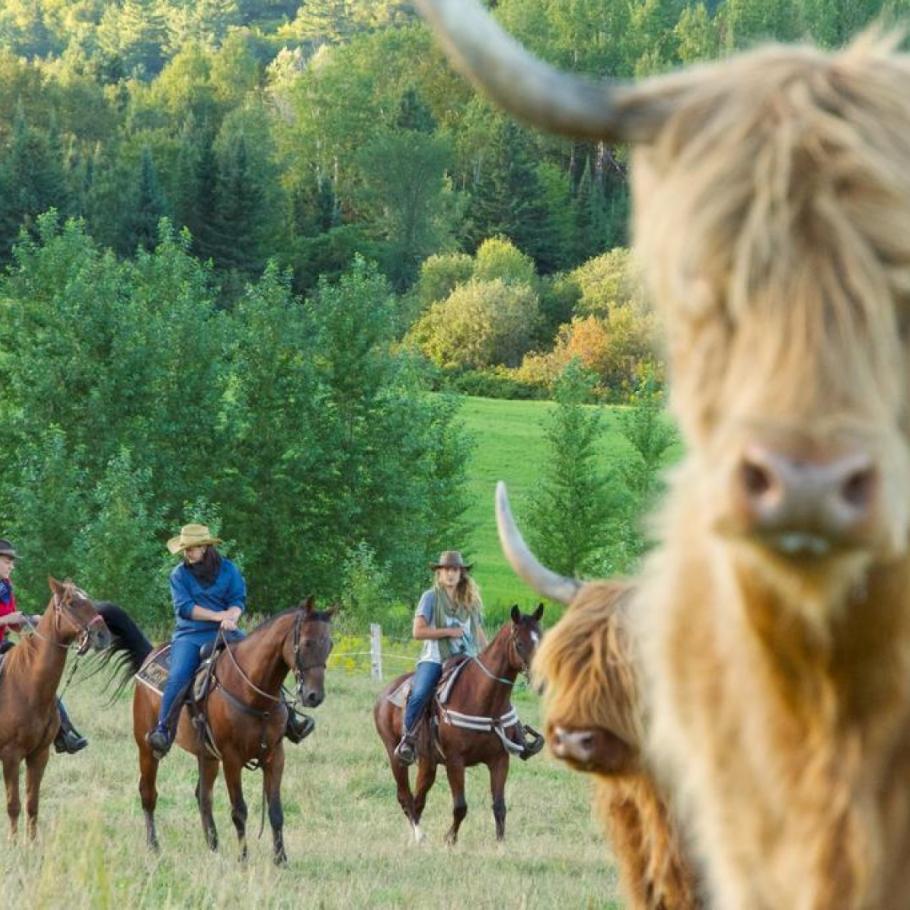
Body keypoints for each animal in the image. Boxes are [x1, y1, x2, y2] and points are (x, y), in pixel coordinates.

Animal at [0, 584, 111, 840]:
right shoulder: (10, 755)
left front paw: (31, 843)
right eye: (72, 603)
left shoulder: (39, 754)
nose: (103, 635)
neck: (27, 686)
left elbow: (32, 803)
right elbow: (13, 804)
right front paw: (13, 843)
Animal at [100, 596, 334, 864]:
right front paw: (243, 859)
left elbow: (276, 811)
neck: (251, 692)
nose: (314, 696)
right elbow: (239, 810)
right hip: (146, 748)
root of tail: (150, 654)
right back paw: (154, 846)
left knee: (203, 796)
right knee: (148, 793)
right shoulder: (232, 759)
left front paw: (281, 860)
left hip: (208, 757)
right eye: (306, 642)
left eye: (330, 644)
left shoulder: (275, 756)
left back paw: (213, 846)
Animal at [374, 604, 544, 848]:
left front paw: (501, 845)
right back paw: (419, 835)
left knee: (418, 799)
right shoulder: (455, 762)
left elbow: (499, 806)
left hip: (427, 762)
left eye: (542, 637)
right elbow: (460, 806)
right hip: (395, 754)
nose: (543, 680)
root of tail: (384, 694)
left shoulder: (500, 760)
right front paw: (450, 840)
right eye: (520, 643)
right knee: (405, 797)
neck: (483, 701)